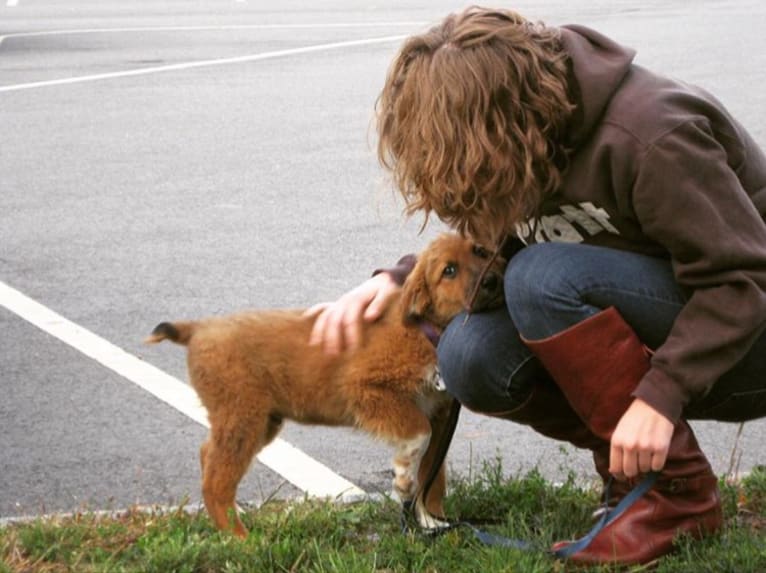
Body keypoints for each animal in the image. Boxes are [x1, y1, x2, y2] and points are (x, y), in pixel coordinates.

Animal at [146, 233, 508, 536]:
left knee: (208, 455)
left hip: (258, 420)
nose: (492, 281)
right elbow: (418, 435)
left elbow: (433, 476)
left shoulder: (440, 415)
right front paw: (405, 478)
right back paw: (240, 539)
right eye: (449, 271)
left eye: (480, 251)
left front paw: (432, 522)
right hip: (241, 415)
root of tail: (198, 329)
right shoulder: (368, 390)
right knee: (215, 482)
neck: (424, 331)